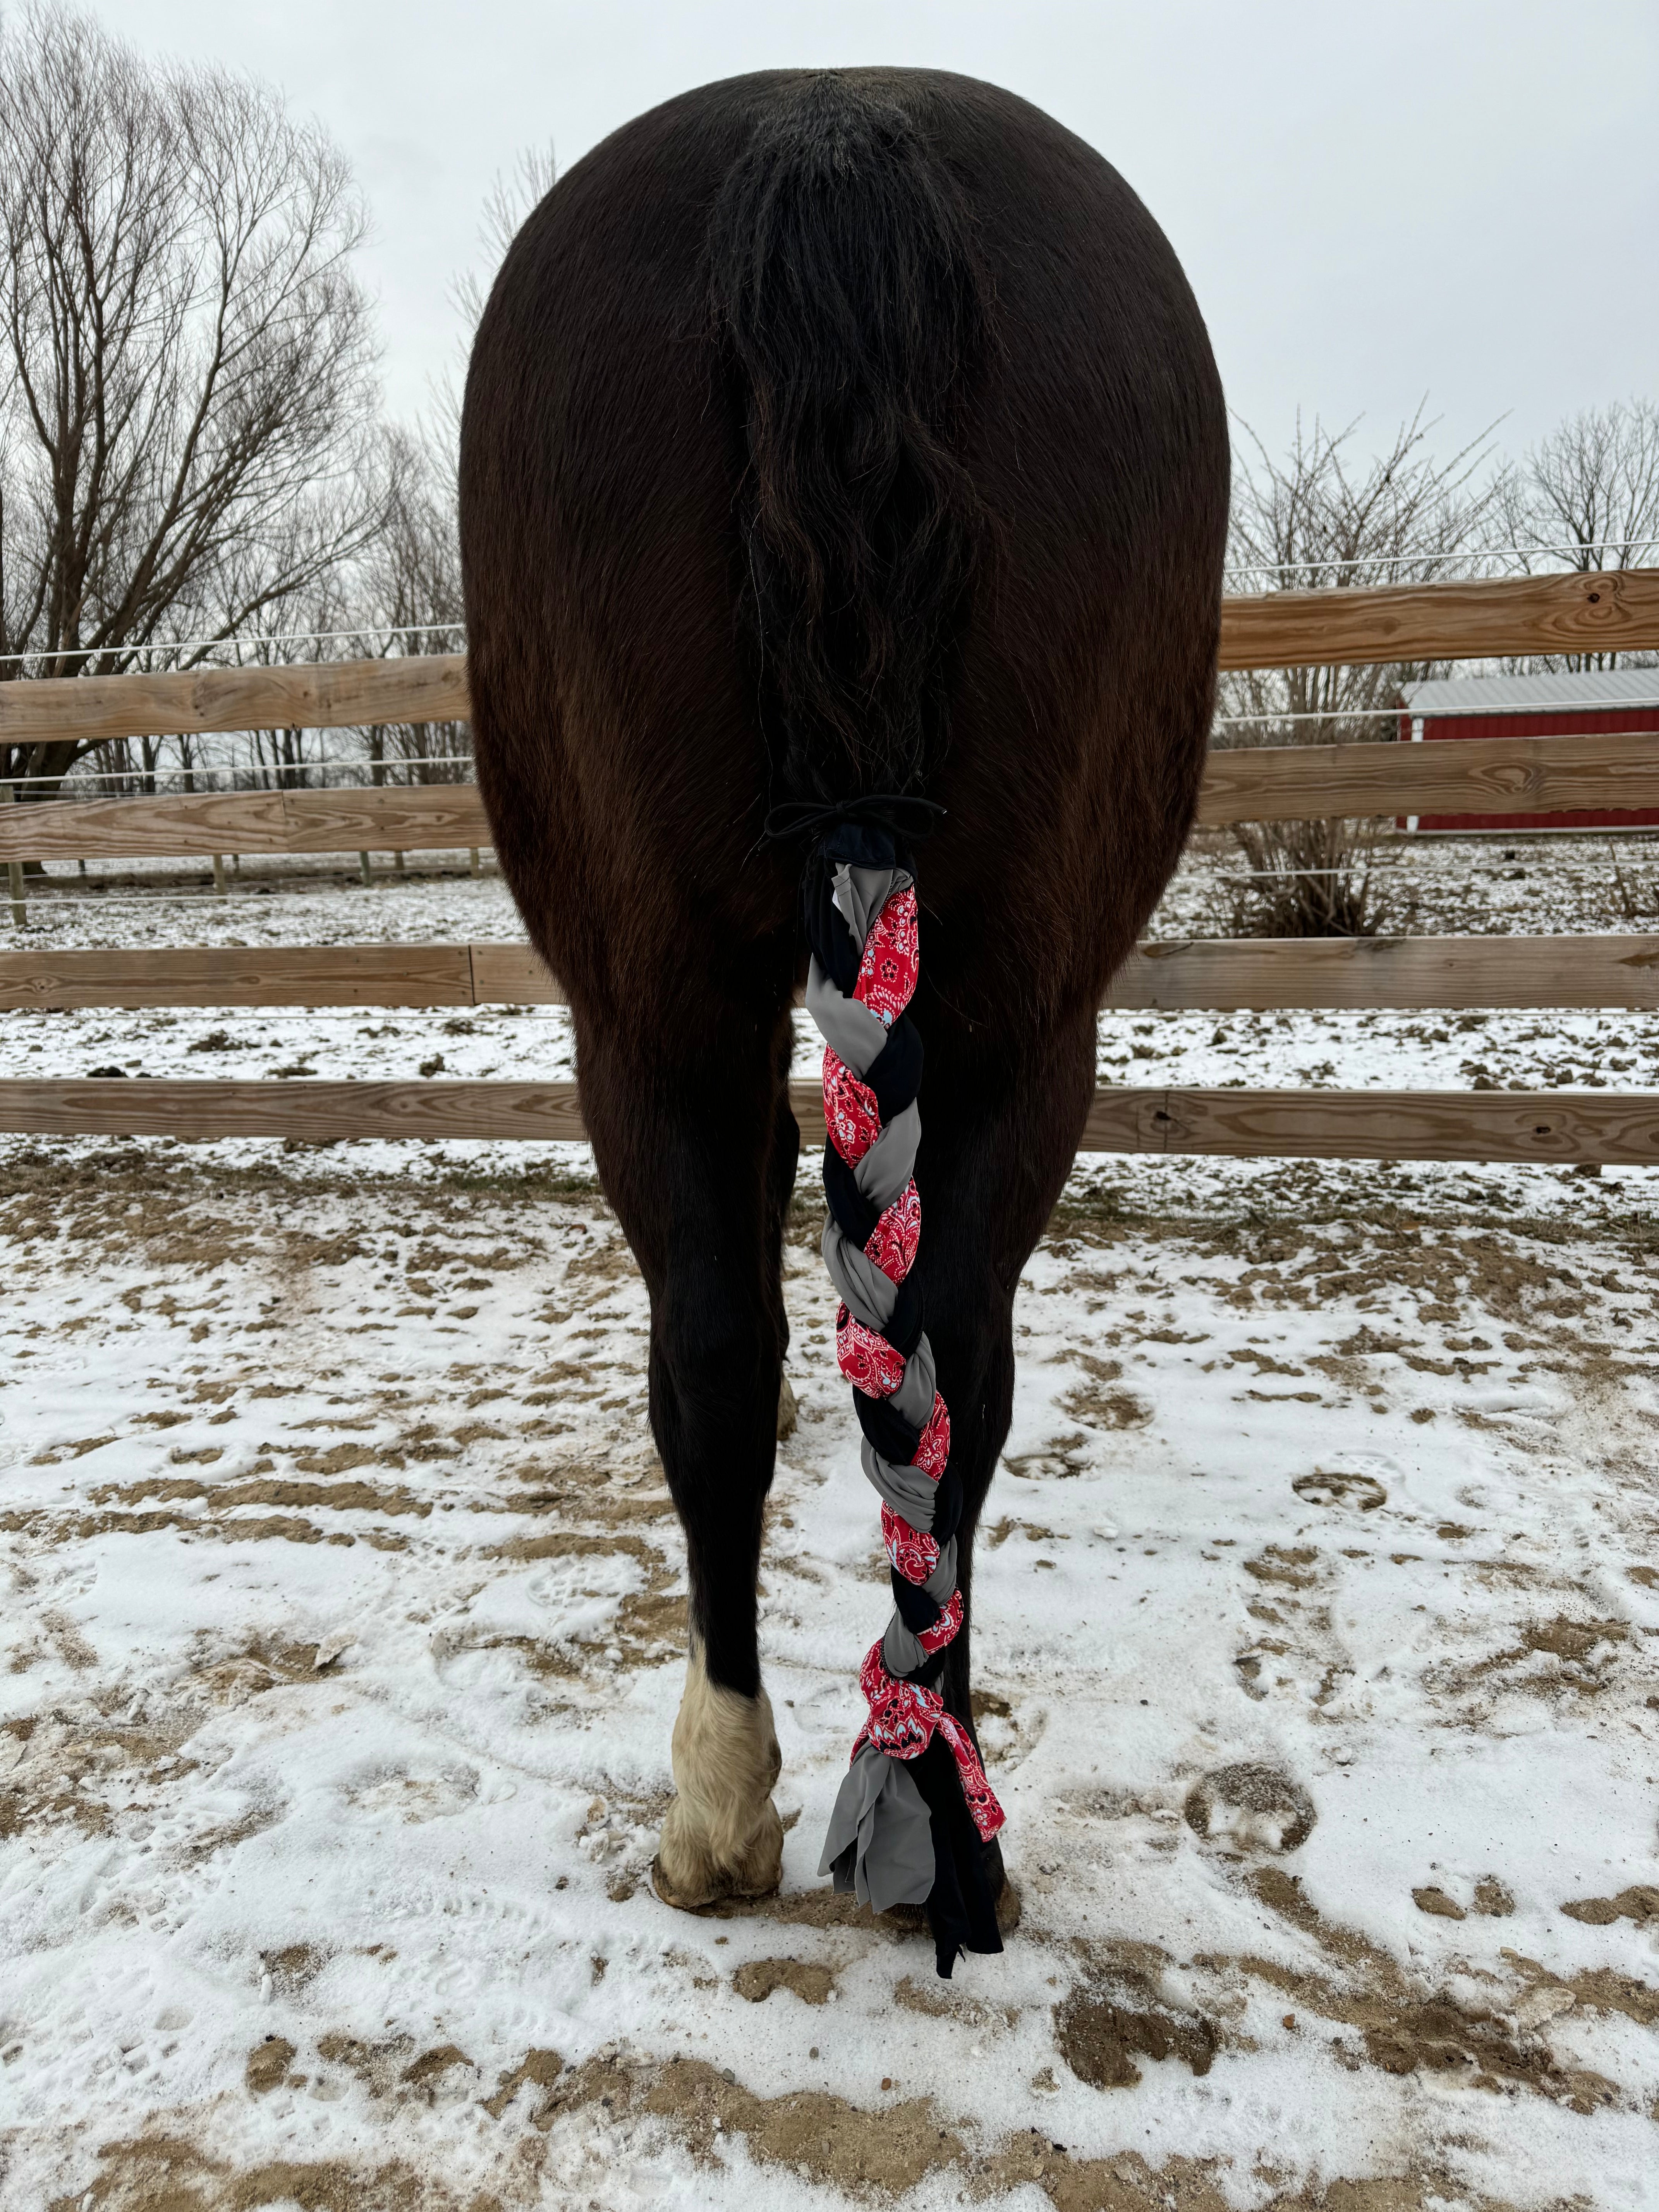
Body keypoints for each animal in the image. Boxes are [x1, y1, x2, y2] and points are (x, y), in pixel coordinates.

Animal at [462, 73, 1230, 1955]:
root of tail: (832, 125)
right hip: (1017, 1018)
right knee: (934, 1368)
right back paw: (913, 1811)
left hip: (651, 1010)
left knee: (723, 1359)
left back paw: (726, 1804)